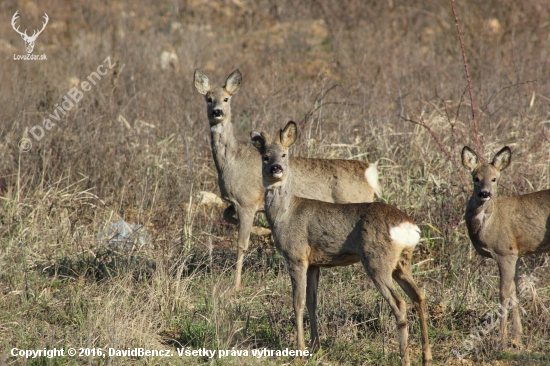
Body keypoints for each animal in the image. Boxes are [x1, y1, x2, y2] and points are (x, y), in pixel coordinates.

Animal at [196, 70, 382, 290]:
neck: (231, 160)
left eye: (226, 98)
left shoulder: (246, 201)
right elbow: (226, 215)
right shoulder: (238, 202)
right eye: (208, 99)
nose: (217, 112)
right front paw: (264, 231)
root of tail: (368, 172)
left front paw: (236, 285)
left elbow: (241, 244)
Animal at [251, 121, 436, 364]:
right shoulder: (315, 263)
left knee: (400, 303)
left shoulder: (296, 255)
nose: (276, 168)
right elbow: (312, 302)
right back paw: (426, 357)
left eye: (284, 154)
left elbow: (297, 302)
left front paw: (300, 350)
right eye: (265, 156)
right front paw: (316, 346)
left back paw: (404, 358)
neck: (285, 214)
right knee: (419, 296)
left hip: (377, 260)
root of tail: (408, 226)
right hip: (401, 263)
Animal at [464, 145, 548, 346]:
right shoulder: (516, 253)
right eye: (476, 178)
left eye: (494, 178)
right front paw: (517, 337)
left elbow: (503, 293)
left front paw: (501, 338)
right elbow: (513, 292)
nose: (485, 193)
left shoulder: (504, 252)